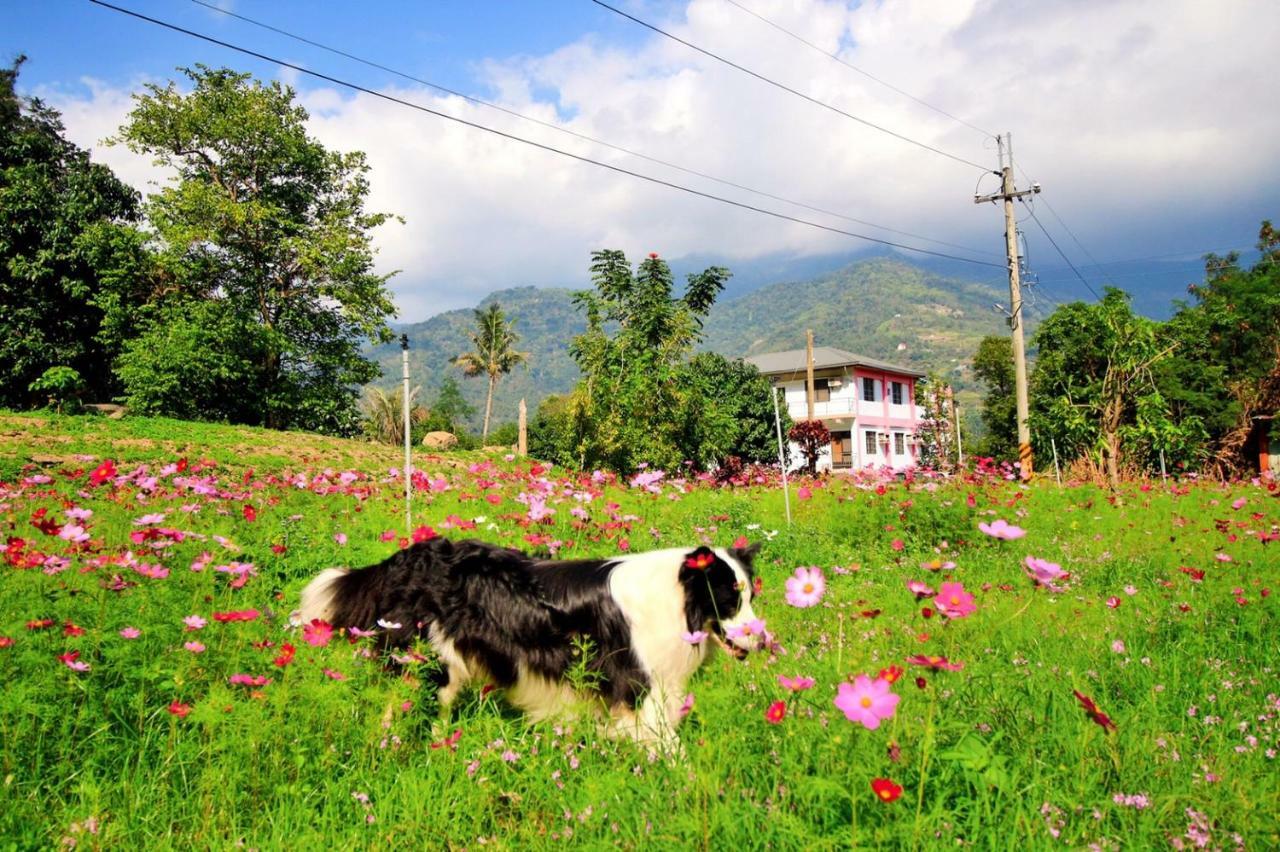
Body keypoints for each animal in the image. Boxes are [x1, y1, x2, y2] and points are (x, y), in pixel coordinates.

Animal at [294, 537, 757, 741]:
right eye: (730, 599)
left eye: (751, 595)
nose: (762, 642)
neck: (678, 595)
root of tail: (406, 556)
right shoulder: (638, 687)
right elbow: (668, 749)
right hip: (422, 656)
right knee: (398, 701)